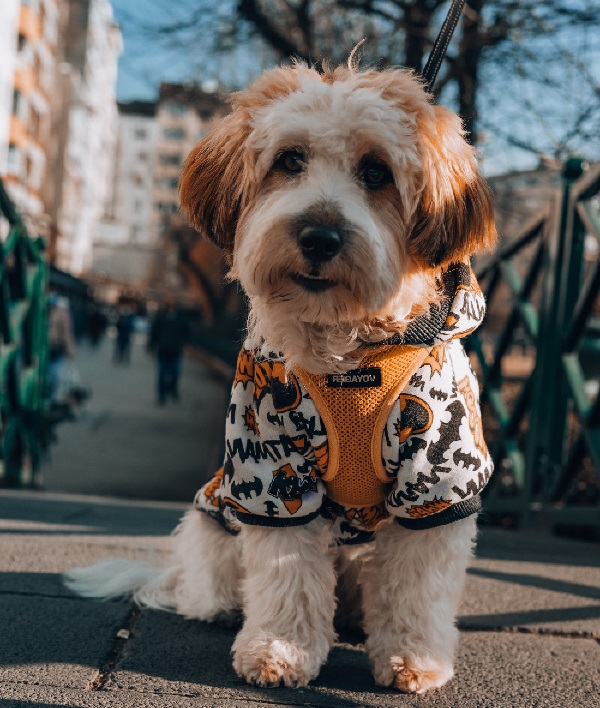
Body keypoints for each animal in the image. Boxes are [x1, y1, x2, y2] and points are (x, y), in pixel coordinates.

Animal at [65, 58, 496, 696]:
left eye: (377, 171)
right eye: (290, 160)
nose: (319, 236)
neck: (348, 356)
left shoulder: (438, 486)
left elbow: (417, 587)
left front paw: (414, 658)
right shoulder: (271, 471)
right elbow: (287, 574)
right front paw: (280, 651)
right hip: (215, 518)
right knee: (214, 581)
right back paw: (221, 607)